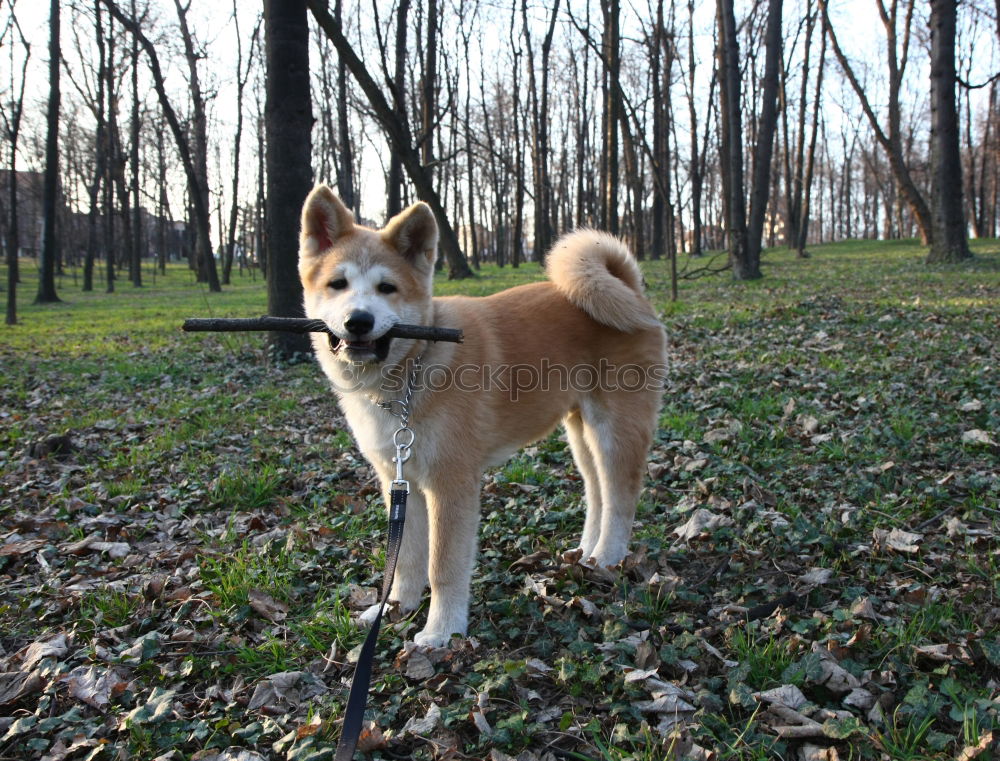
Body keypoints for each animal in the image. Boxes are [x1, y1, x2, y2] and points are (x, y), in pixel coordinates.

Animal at [298, 186, 672, 648]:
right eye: (338, 284)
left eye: (387, 288)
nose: (358, 320)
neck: (412, 371)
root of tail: (629, 288)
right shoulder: (400, 482)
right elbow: (405, 559)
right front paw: (395, 609)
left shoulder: (450, 484)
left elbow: (442, 566)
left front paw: (441, 630)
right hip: (581, 435)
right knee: (597, 492)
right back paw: (586, 553)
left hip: (614, 430)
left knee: (622, 497)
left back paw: (608, 557)